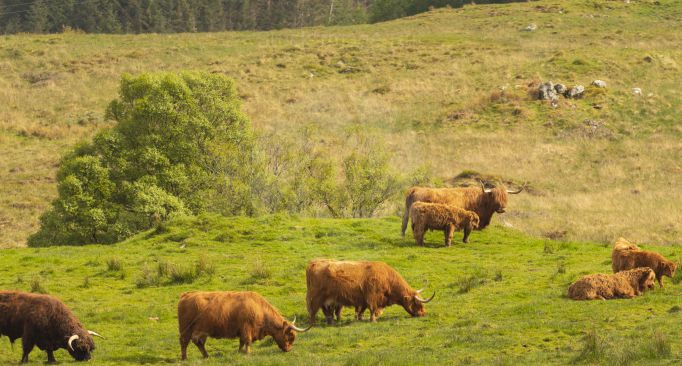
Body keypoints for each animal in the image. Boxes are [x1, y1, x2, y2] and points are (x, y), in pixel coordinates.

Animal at [178, 290, 310, 358]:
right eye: (290, 336)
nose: (288, 349)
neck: (259, 309)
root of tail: (186, 295)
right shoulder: (247, 329)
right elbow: (247, 341)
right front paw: (248, 353)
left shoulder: (242, 330)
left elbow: (241, 342)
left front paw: (240, 352)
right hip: (186, 329)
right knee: (184, 342)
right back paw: (185, 358)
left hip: (202, 331)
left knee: (199, 342)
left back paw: (206, 356)